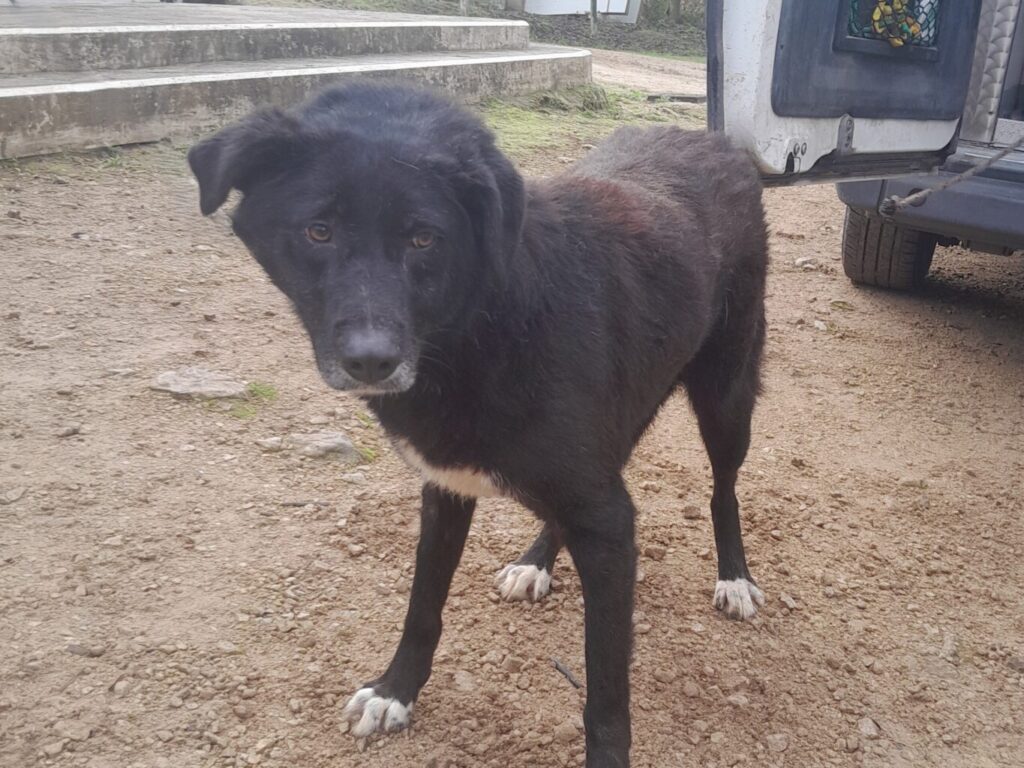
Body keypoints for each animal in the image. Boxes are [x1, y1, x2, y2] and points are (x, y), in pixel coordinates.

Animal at [188, 81, 769, 767]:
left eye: (424, 239)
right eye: (318, 231)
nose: (370, 360)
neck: (482, 321)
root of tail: (715, 141)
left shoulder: (607, 528)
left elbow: (606, 694)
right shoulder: (447, 487)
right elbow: (423, 605)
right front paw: (395, 691)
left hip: (727, 398)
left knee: (724, 488)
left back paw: (734, 576)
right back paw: (538, 559)